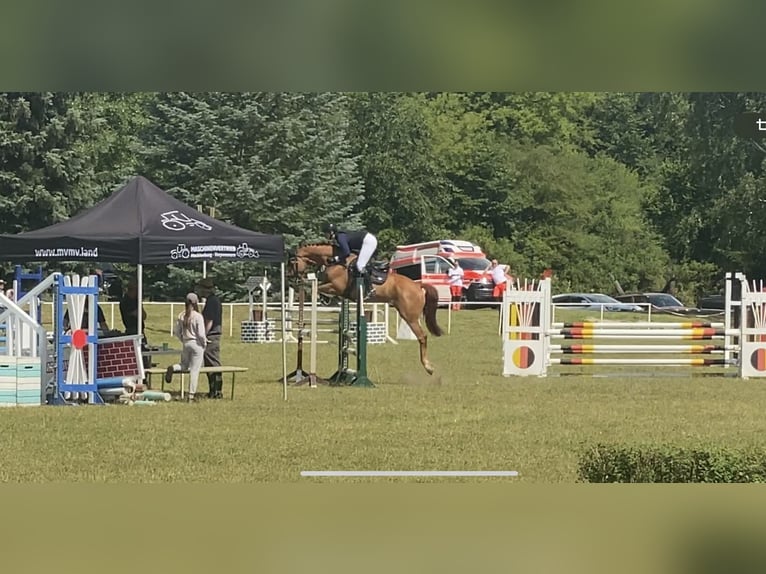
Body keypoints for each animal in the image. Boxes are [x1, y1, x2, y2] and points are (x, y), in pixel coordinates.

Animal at [290, 244, 444, 376]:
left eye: (293, 262)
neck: (336, 262)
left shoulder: (335, 286)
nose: (293, 278)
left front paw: (322, 297)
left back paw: (428, 367)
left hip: (409, 316)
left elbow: (319, 287)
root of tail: (418, 286)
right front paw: (324, 299)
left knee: (422, 337)